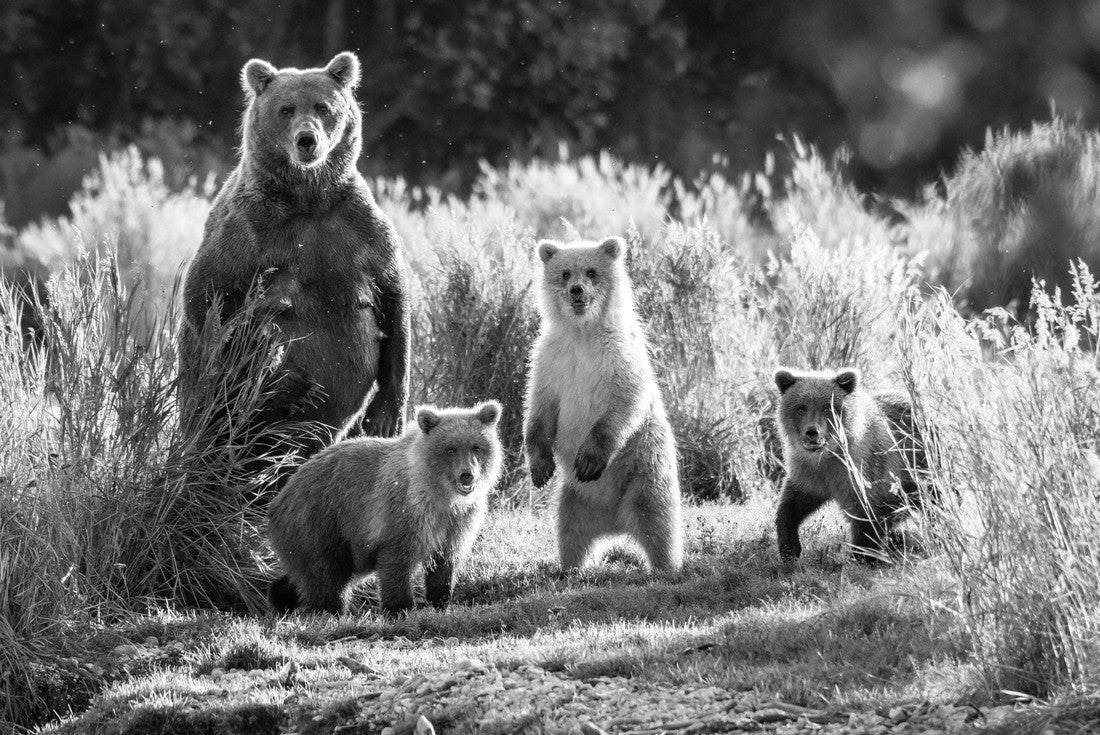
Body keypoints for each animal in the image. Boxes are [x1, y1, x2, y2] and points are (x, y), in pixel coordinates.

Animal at [180, 51, 410, 489]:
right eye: (285, 109)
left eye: (323, 107)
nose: (307, 139)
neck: (307, 199)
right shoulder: (248, 230)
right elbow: (208, 298)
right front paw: (291, 384)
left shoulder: (357, 228)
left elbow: (394, 299)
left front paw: (385, 415)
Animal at [267, 401, 503, 615]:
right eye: (450, 449)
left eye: (477, 447)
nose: (467, 475)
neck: (443, 496)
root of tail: (280, 496)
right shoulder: (404, 513)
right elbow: (397, 562)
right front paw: (400, 609)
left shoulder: (458, 521)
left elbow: (445, 564)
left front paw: (439, 604)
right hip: (320, 520)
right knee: (327, 575)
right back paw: (329, 611)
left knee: (312, 574)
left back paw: (281, 598)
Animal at [524, 236, 684, 573]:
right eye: (565, 273)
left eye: (592, 272)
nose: (577, 290)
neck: (583, 333)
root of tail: (615, 524)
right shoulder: (551, 360)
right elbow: (539, 408)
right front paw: (540, 468)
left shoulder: (618, 356)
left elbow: (624, 402)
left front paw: (588, 461)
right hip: (575, 498)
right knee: (570, 531)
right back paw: (570, 567)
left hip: (644, 466)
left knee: (657, 518)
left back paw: (666, 565)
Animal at [773, 367, 928, 564]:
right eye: (800, 408)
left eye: (827, 408)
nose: (812, 432)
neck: (829, 455)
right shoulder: (809, 473)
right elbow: (792, 504)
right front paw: (789, 549)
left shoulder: (863, 471)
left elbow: (867, 514)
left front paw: (862, 557)